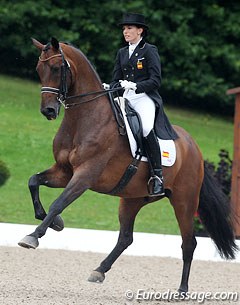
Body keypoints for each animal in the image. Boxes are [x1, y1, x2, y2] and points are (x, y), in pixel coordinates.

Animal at [17, 37, 237, 292]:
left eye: (55, 68)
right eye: (38, 70)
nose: (48, 111)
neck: (84, 119)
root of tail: (194, 147)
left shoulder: (84, 176)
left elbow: (58, 203)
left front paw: (33, 236)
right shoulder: (63, 172)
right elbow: (33, 181)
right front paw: (55, 223)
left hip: (184, 201)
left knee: (188, 242)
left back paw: (182, 289)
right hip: (132, 198)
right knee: (126, 238)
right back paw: (99, 270)